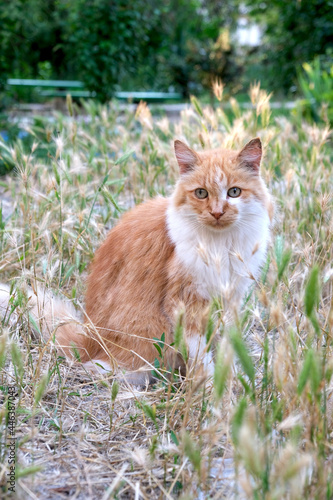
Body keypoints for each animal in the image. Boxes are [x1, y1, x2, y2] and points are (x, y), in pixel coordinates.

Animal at [0, 139, 272, 384]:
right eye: (201, 193)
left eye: (234, 192)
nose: (217, 213)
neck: (221, 246)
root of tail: (88, 339)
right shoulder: (185, 304)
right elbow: (202, 358)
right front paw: (210, 390)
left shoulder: (231, 300)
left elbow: (229, 348)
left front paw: (233, 384)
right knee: (103, 369)